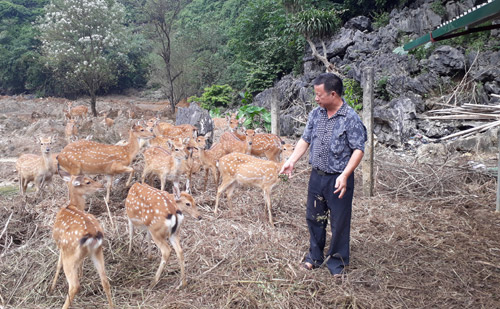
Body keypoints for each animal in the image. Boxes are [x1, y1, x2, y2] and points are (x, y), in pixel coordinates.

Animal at [50, 168, 113, 308]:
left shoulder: (60, 245)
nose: (101, 185)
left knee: (74, 285)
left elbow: (58, 264)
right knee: (105, 281)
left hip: (69, 253)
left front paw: (52, 287)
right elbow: (81, 262)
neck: (72, 205)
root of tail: (93, 235)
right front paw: (81, 274)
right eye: (88, 181)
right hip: (97, 251)